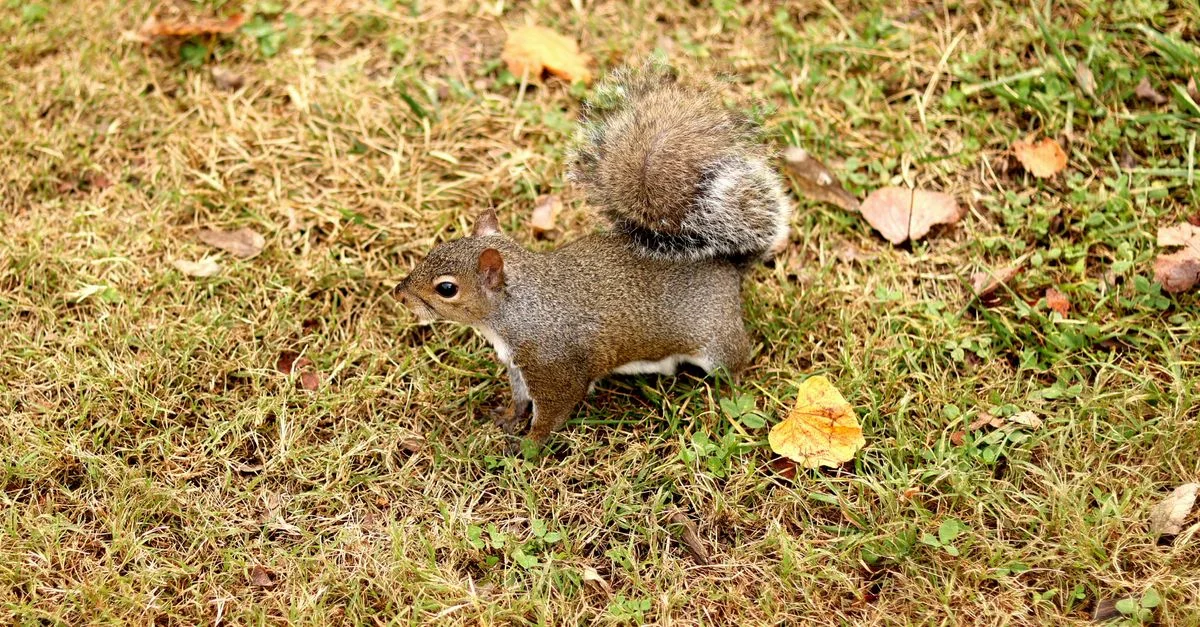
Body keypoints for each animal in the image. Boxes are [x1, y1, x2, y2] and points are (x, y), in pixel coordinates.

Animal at [397, 62, 792, 448]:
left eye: (447, 289)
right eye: (437, 247)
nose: (400, 294)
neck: (515, 310)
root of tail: (728, 266)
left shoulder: (554, 366)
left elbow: (553, 411)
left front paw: (527, 449)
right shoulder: (518, 366)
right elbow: (521, 399)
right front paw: (509, 417)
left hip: (717, 341)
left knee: (736, 360)